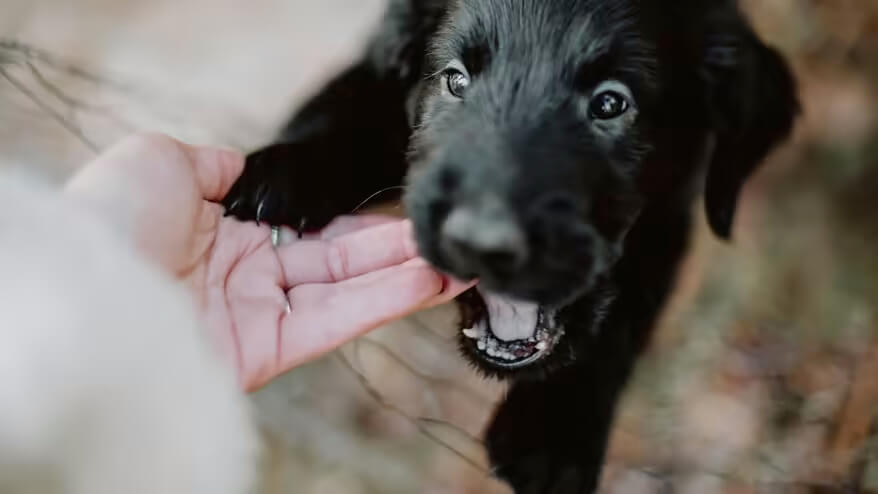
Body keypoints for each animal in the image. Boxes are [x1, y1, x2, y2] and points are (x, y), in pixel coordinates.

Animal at [223, 1, 800, 492]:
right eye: (456, 79)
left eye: (611, 102)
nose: (479, 243)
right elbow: (356, 100)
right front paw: (286, 168)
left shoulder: (669, 212)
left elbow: (622, 309)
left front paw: (551, 433)